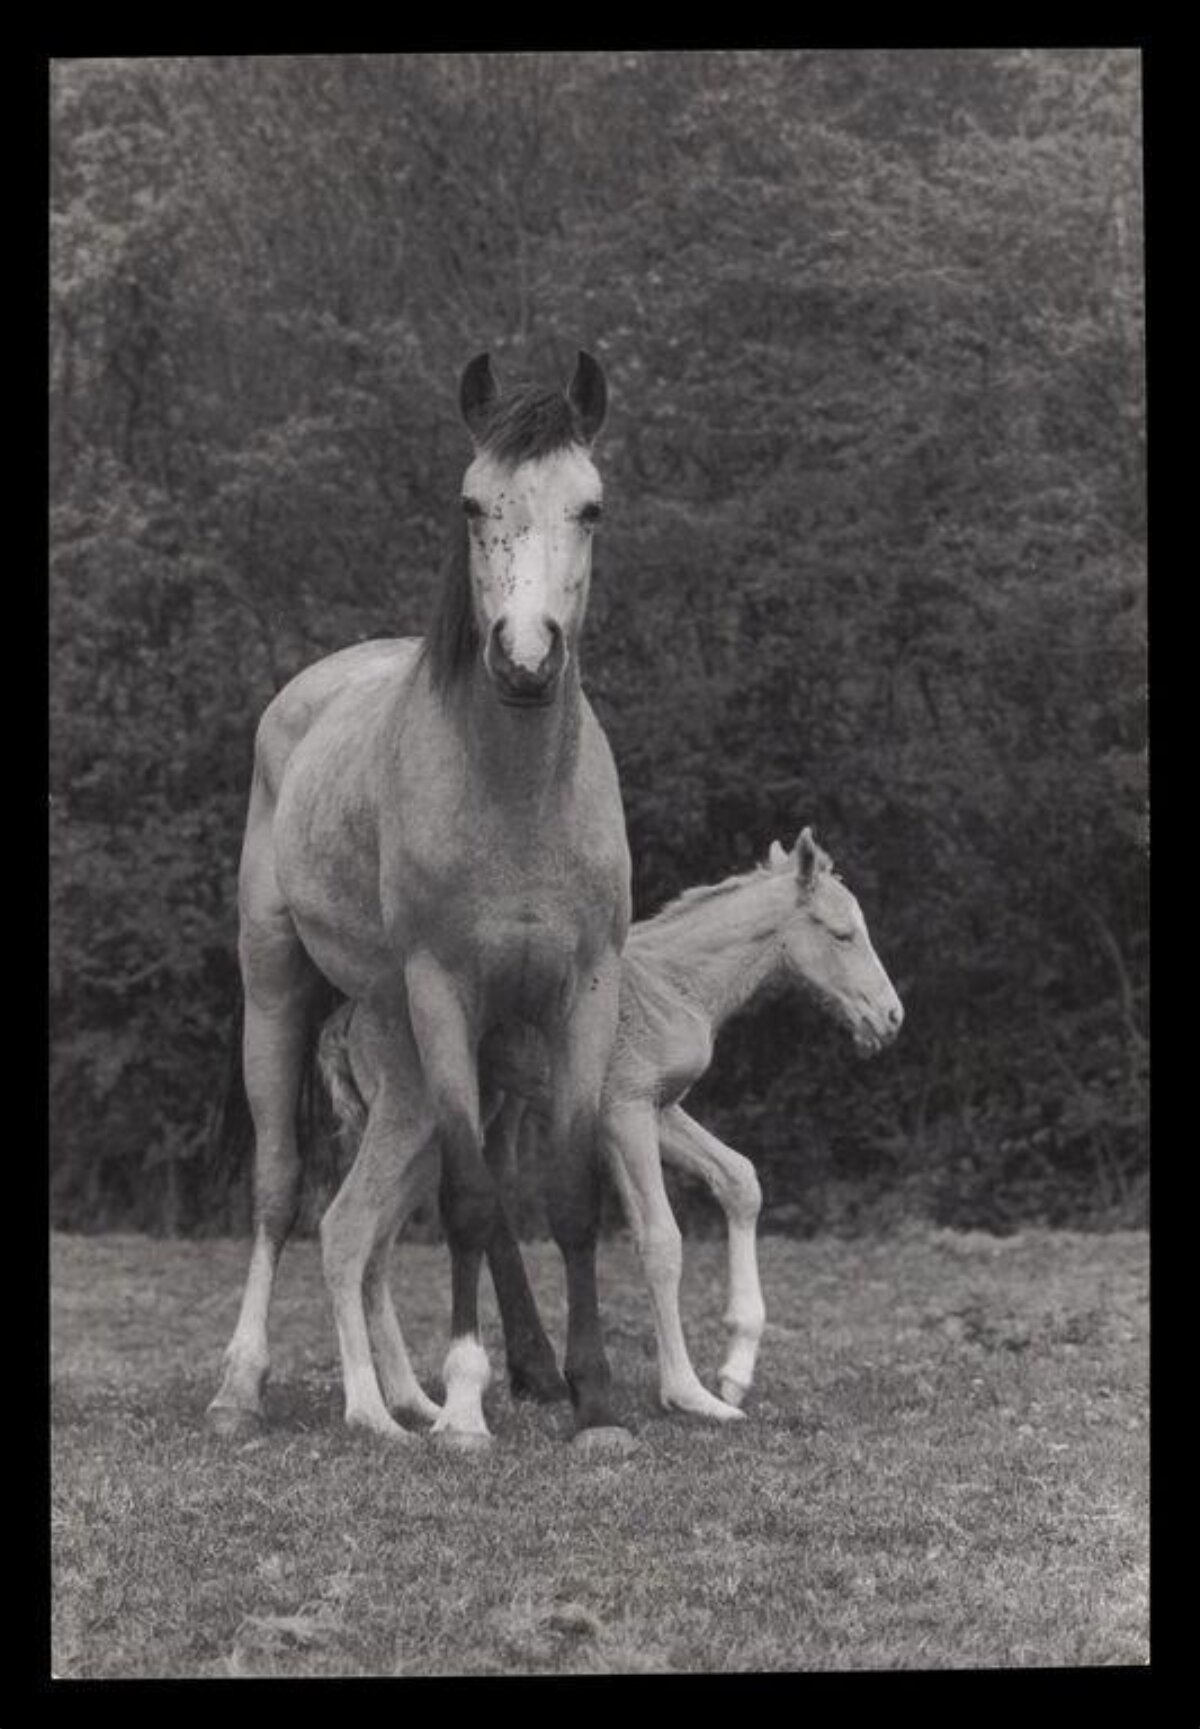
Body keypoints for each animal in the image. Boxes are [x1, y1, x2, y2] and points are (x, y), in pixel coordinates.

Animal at [206, 350, 633, 1451]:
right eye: (473, 502)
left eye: (591, 507)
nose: (525, 657)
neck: (517, 796)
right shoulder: (444, 988)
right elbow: (473, 1200)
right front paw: (470, 1407)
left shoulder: (583, 989)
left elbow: (566, 1195)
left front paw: (596, 1402)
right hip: (277, 989)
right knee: (283, 1190)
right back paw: (243, 1388)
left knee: (379, 1217)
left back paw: (432, 1387)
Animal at [318, 826, 903, 1423]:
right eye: (843, 934)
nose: (891, 1017)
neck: (675, 983)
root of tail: (349, 1014)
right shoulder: (628, 1109)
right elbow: (660, 1238)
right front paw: (690, 1393)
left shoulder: (659, 1109)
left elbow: (739, 1178)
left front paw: (735, 1371)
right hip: (407, 1115)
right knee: (344, 1226)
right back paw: (372, 1414)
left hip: (438, 1138)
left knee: (376, 1247)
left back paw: (416, 1402)